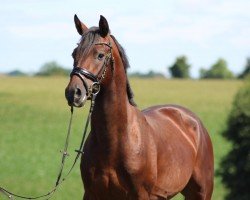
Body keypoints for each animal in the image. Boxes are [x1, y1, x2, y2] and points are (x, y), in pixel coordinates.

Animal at [64, 15, 213, 200]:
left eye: (100, 55)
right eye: (74, 54)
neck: (114, 144)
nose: (73, 93)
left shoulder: (141, 195)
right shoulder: (92, 194)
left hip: (202, 192)